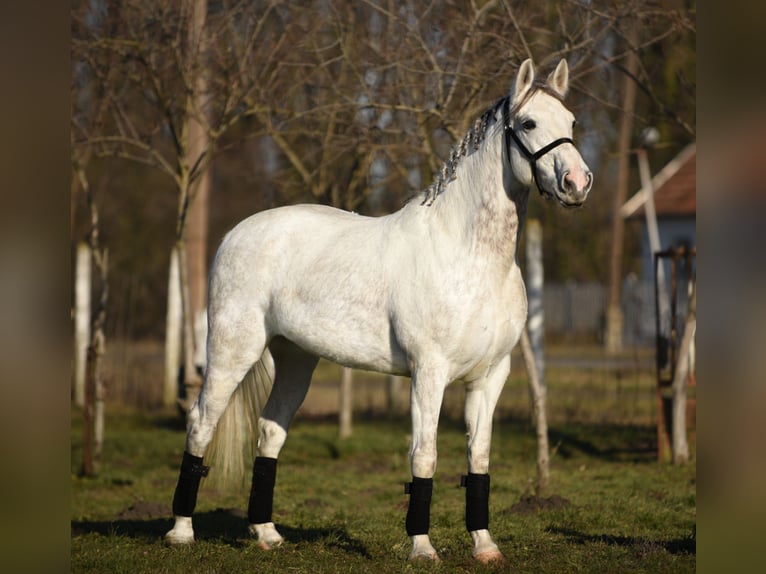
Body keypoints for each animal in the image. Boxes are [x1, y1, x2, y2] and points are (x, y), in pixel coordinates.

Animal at [166, 60, 592, 564]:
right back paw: (181, 532)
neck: (470, 256)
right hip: (233, 350)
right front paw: (422, 548)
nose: (577, 183)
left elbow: (480, 457)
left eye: (571, 122)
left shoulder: (491, 376)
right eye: (528, 123)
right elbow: (423, 455)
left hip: (295, 360)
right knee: (200, 423)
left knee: (270, 432)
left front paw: (485, 546)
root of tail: (235, 234)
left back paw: (268, 534)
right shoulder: (429, 372)